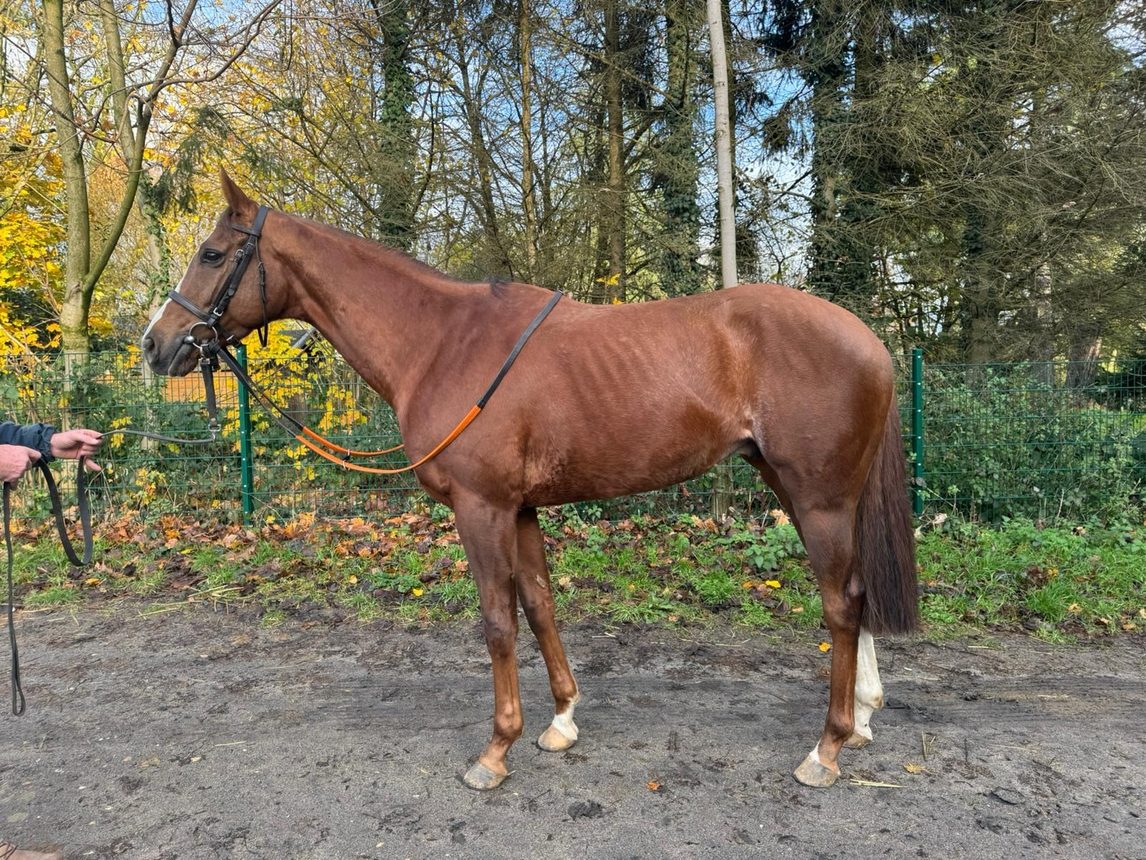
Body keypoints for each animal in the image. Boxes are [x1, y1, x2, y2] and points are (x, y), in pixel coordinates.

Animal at [142, 171, 918, 791]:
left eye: (213, 253)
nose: (155, 344)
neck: (442, 341)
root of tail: (870, 339)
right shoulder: (519, 510)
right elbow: (540, 606)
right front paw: (562, 720)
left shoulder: (480, 508)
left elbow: (496, 621)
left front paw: (495, 750)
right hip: (800, 489)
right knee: (856, 594)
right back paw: (864, 717)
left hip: (818, 498)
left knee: (843, 603)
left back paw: (826, 749)